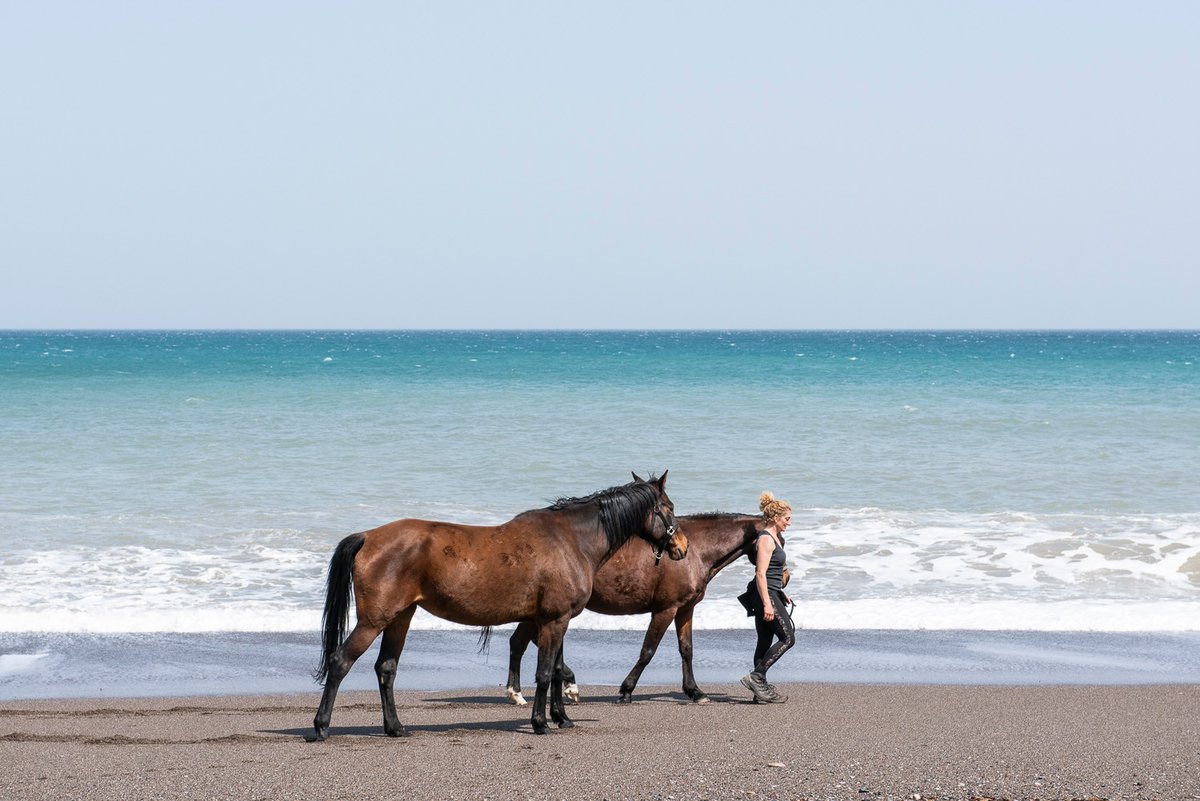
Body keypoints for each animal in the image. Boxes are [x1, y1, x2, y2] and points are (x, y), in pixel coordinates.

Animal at [312, 472, 687, 739]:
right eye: (669, 506)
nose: (681, 546)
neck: (571, 539)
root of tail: (368, 536)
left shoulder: (553, 619)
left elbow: (555, 671)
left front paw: (562, 717)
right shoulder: (554, 620)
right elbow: (545, 672)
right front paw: (540, 722)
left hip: (400, 618)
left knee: (386, 669)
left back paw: (395, 727)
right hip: (374, 621)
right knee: (340, 662)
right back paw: (321, 726)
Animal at [504, 512, 763, 705]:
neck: (696, 550)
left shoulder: (685, 609)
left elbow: (686, 649)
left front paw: (695, 691)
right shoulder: (665, 610)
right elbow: (648, 650)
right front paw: (626, 690)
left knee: (522, 641)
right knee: (523, 642)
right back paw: (531, 690)